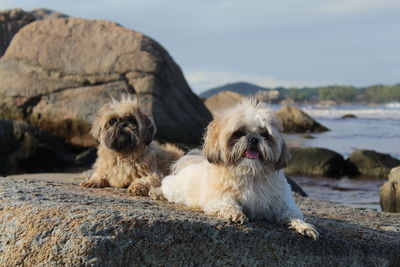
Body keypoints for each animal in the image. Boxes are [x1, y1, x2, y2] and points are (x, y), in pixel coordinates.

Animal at [159, 99, 318, 241]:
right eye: (239, 133)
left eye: (265, 135)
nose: (253, 138)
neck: (250, 173)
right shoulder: (218, 199)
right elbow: (228, 204)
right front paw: (235, 214)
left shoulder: (283, 204)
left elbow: (292, 215)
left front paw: (305, 227)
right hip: (174, 190)